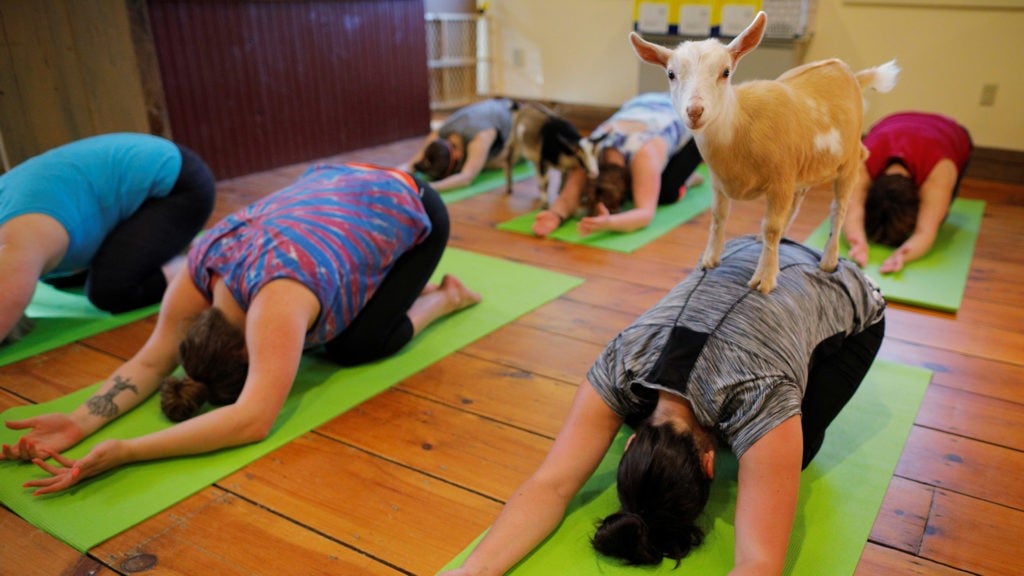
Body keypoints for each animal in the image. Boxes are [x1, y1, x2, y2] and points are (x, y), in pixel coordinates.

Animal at [626, 10, 901, 291]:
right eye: (671, 74)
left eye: (726, 72)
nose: (694, 111)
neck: (739, 125)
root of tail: (849, 72)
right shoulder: (720, 181)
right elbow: (718, 217)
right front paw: (710, 259)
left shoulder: (780, 181)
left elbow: (771, 226)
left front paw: (764, 278)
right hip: (801, 168)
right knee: (797, 202)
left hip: (848, 164)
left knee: (838, 210)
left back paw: (828, 260)